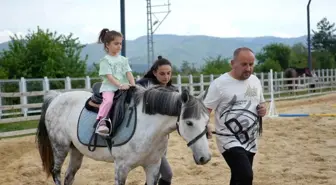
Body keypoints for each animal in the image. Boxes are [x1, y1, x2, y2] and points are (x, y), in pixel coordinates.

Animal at [35, 85, 211, 185]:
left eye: (207, 120)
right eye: (189, 123)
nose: (205, 158)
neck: (147, 128)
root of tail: (56, 97)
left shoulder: (153, 167)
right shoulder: (121, 168)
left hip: (76, 151)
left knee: (69, 176)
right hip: (60, 148)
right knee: (56, 173)